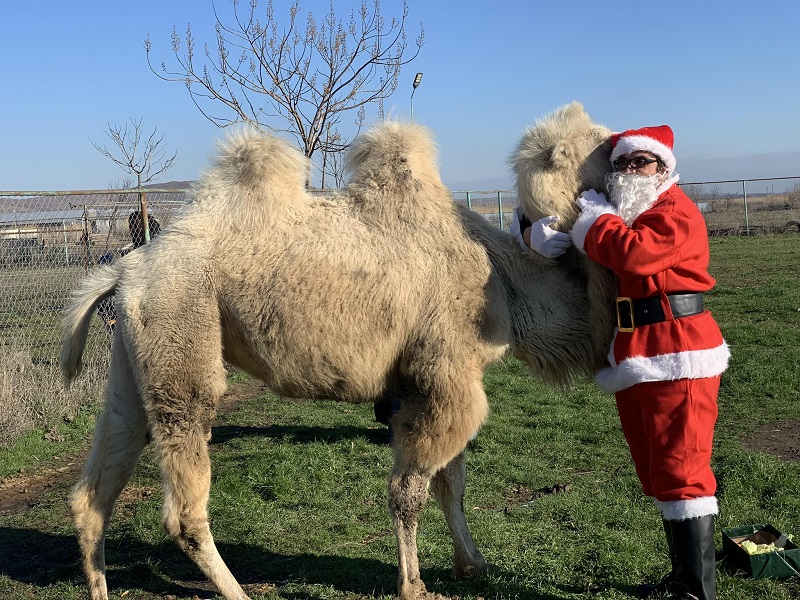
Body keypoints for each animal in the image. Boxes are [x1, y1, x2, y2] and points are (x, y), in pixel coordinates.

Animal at [64, 104, 612, 600]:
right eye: (604, 143)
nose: (635, 151)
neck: (503, 282)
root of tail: (126, 270)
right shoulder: (443, 373)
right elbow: (409, 492)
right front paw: (413, 586)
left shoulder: (446, 380)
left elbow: (451, 482)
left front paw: (471, 565)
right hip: (182, 335)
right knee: (182, 506)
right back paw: (237, 591)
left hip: (135, 359)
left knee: (95, 491)